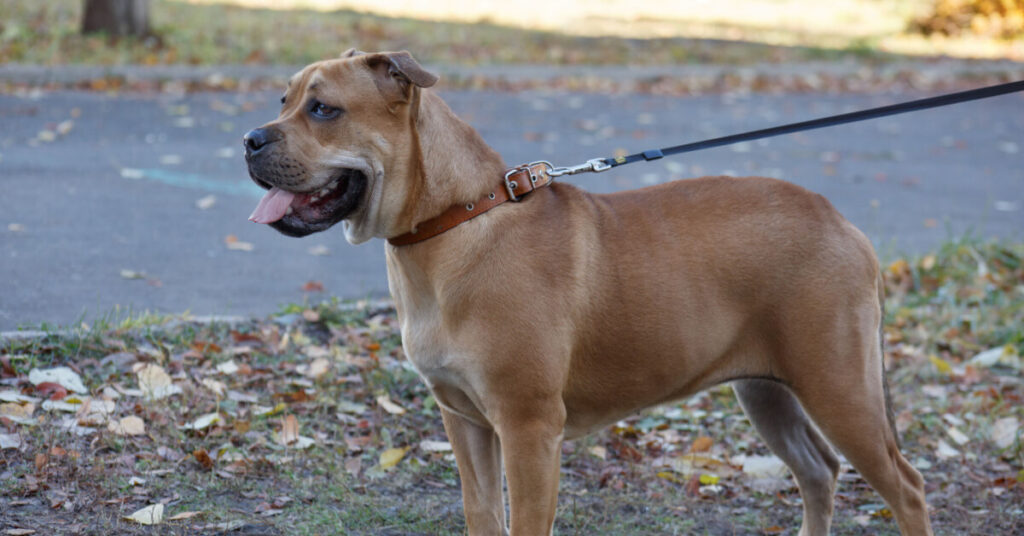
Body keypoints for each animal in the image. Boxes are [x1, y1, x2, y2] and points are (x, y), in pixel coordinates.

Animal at [243, 51, 933, 536]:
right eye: (284, 100)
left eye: (324, 110)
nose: (250, 138)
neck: (454, 221)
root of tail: (839, 220)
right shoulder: (464, 421)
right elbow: (482, 515)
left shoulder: (528, 428)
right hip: (768, 392)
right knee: (819, 473)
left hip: (839, 387)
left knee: (906, 488)